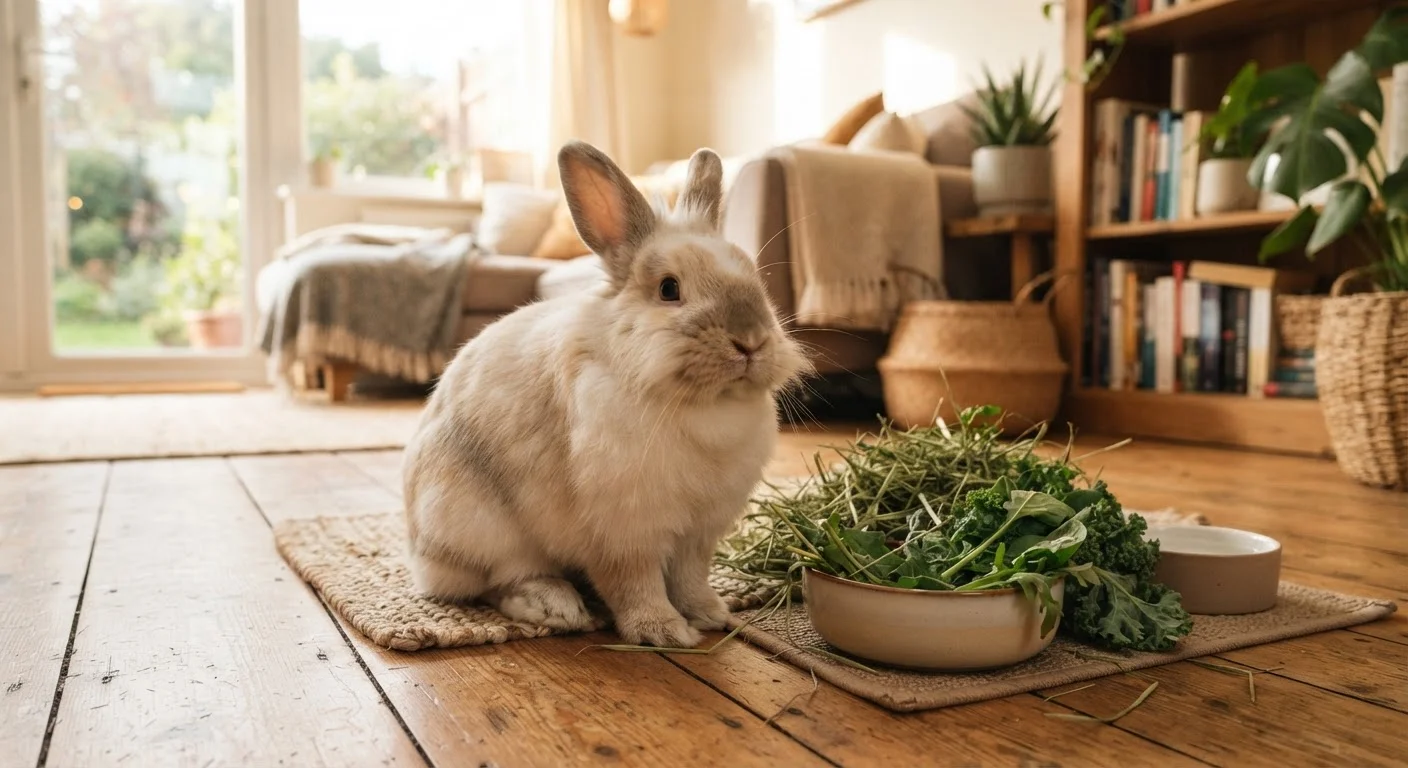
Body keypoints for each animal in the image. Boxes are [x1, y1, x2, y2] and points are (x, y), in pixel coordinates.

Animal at [401, 140, 810, 648]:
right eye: (669, 289)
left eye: (755, 277)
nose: (750, 341)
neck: (701, 403)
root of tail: (418, 552)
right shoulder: (622, 530)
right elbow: (635, 583)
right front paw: (663, 631)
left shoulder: (699, 533)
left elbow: (690, 578)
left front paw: (711, 614)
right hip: (478, 527)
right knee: (496, 580)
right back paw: (553, 605)